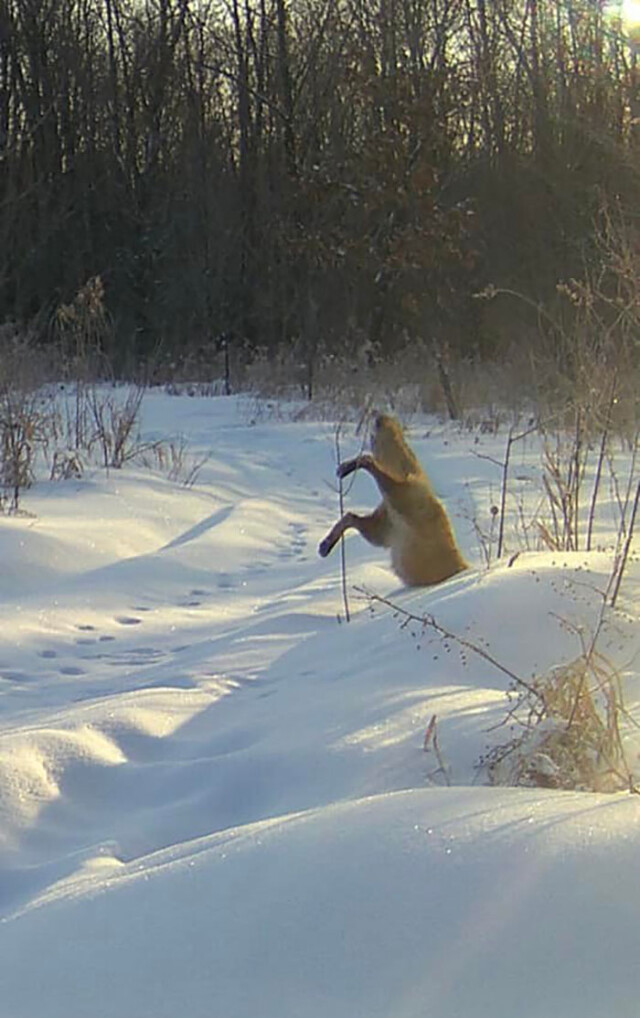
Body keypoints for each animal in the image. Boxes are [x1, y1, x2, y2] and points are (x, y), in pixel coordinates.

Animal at [317, 411, 463, 586]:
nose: (377, 413)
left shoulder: (397, 509)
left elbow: (368, 460)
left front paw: (346, 467)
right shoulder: (384, 531)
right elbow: (348, 517)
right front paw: (326, 544)